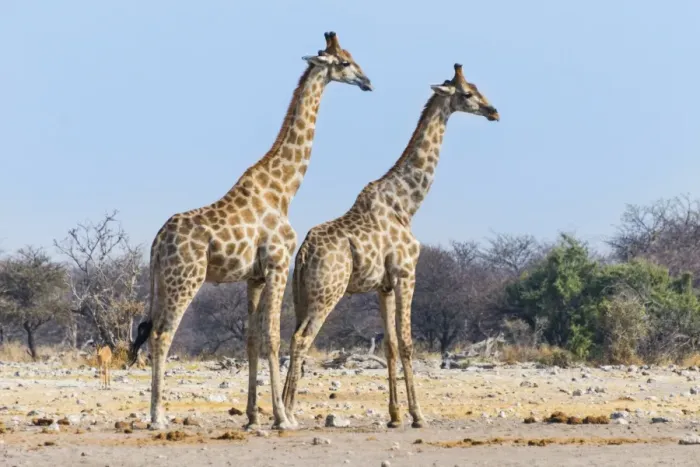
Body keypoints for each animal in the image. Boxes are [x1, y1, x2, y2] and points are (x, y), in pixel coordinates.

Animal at [127, 31, 372, 431]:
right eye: (344, 62)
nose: (367, 82)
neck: (284, 189)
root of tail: (155, 243)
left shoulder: (254, 276)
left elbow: (252, 339)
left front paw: (253, 417)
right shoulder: (277, 264)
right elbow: (273, 337)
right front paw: (283, 418)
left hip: (162, 282)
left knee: (152, 331)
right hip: (186, 280)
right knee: (163, 335)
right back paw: (157, 417)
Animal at [282, 63, 499, 428]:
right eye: (468, 93)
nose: (493, 111)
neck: (407, 204)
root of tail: (305, 253)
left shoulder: (382, 285)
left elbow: (390, 346)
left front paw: (395, 416)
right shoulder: (406, 273)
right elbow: (408, 343)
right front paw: (418, 415)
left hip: (301, 294)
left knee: (292, 336)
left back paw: (283, 408)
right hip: (328, 292)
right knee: (301, 339)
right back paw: (288, 413)